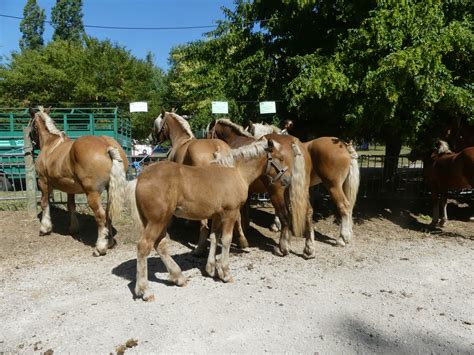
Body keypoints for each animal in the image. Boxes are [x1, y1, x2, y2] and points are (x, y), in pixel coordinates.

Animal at [29, 105, 128, 256]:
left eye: (31, 123)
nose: (31, 140)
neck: (50, 144)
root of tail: (107, 147)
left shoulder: (43, 181)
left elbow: (45, 203)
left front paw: (45, 228)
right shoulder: (69, 187)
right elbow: (71, 205)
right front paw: (73, 228)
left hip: (92, 194)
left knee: (100, 215)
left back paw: (100, 247)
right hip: (110, 191)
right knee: (108, 214)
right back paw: (109, 242)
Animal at [127, 138, 296, 302]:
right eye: (280, 158)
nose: (288, 180)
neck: (236, 172)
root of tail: (140, 177)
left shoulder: (216, 215)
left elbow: (215, 237)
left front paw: (210, 269)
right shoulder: (230, 213)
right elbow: (226, 240)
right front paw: (225, 273)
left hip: (157, 220)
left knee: (160, 244)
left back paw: (178, 277)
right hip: (157, 220)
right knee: (144, 247)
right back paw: (145, 291)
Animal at [206, 119, 314, 258]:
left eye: (208, 133)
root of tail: (293, 142)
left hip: (277, 191)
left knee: (284, 215)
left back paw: (284, 246)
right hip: (302, 189)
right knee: (308, 212)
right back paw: (309, 248)